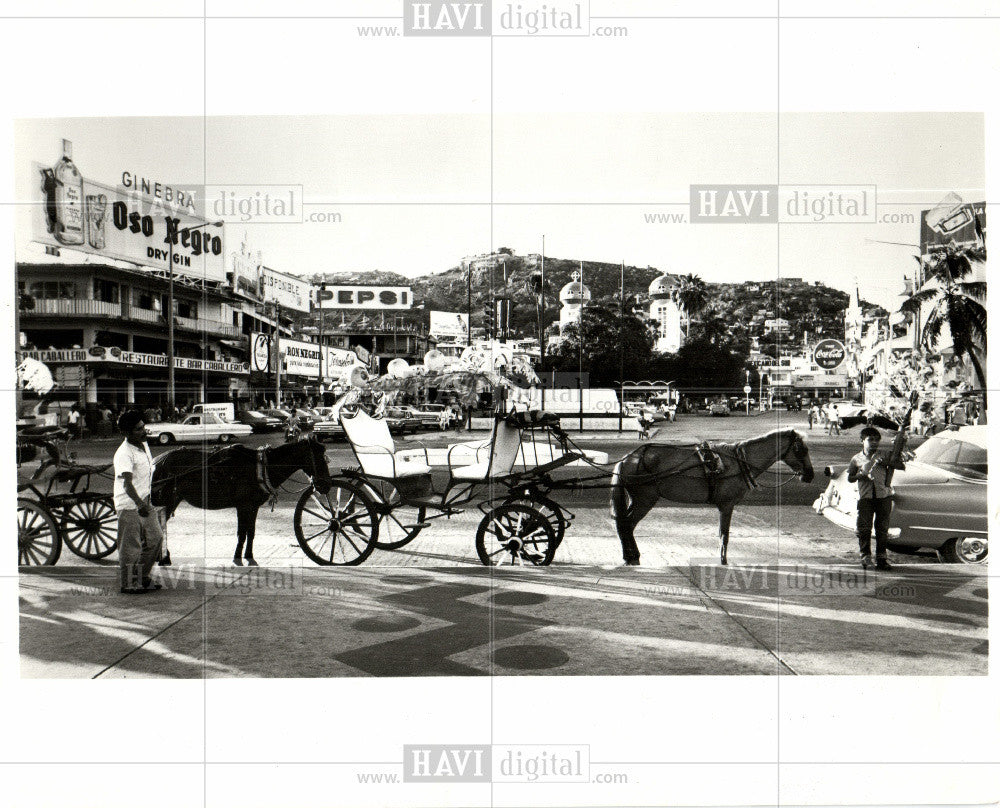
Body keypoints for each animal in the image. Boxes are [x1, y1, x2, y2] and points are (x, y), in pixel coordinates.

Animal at [152, 438, 332, 564]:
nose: (326, 485)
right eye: (319, 458)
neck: (261, 467)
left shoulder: (253, 507)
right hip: (165, 501)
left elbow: (250, 532)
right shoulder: (244, 506)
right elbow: (242, 533)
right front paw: (238, 556)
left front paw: (248, 555)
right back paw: (163, 557)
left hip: (172, 500)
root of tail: (156, 462)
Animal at [608, 426, 812, 564]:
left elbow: (722, 533)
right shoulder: (727, 505)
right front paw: (723, 560)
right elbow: (724, 534)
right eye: (800, 449)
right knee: (627, 524)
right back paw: (631, 556)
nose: (810, 474)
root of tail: (629, 458)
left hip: (638, 499)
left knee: (625, 525)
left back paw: (631, 555)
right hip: (645, 499)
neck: (739, 461)